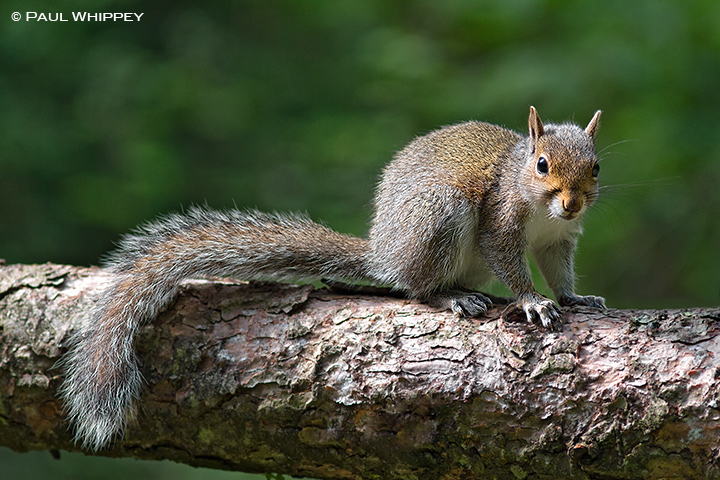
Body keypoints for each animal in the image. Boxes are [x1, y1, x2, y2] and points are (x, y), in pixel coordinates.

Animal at [60, 106, 606, 450]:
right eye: (542, 164)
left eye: (597, 167)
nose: (573, 203)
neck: (540, 209)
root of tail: (384, 252)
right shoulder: (499, 220)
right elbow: (509, 263)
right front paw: (531, 301)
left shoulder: (558, 240)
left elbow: (559, 270)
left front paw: (573, 298)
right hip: (440, 220)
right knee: (416, 287)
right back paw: (452, 297)